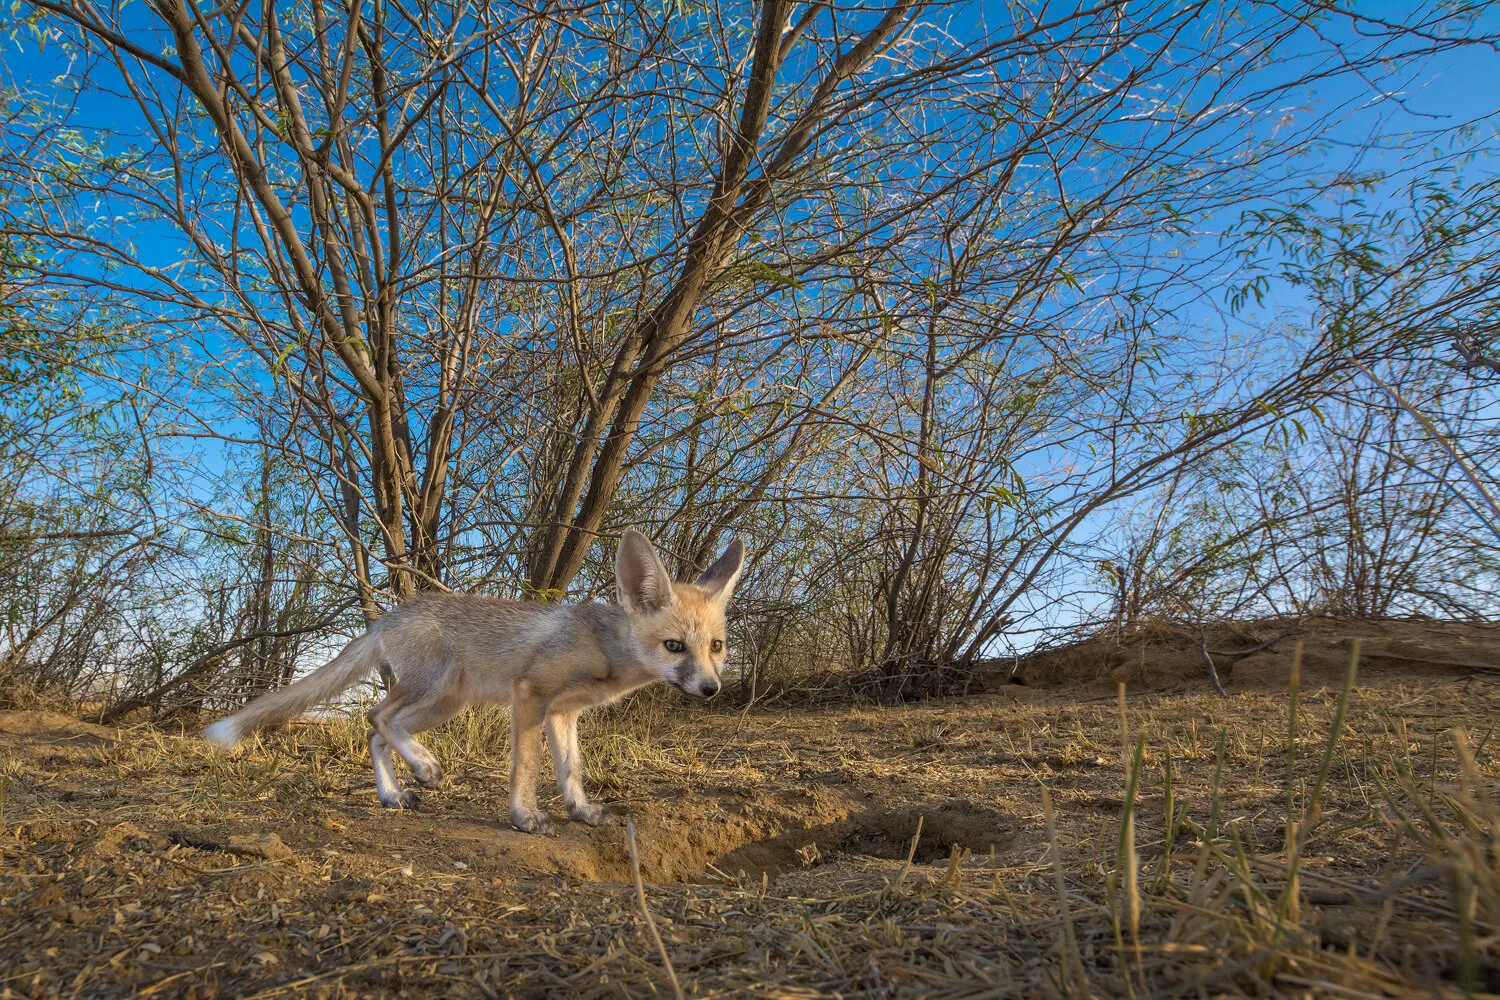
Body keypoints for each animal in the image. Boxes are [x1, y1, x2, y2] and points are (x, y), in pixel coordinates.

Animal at [202, 529, 744, 833]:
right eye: (674, 646)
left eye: (716, 647)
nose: (711, 689)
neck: (604, 650)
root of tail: (391, 615)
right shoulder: (530, 696)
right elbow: (526, 768)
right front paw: (524, 818)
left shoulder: (564, 713)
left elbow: (571, 771)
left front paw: (581, 812)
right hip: (431, 690)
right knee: (375, 716)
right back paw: (423, 768)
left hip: (443, 706)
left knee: (376, 733)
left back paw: (393, 794)